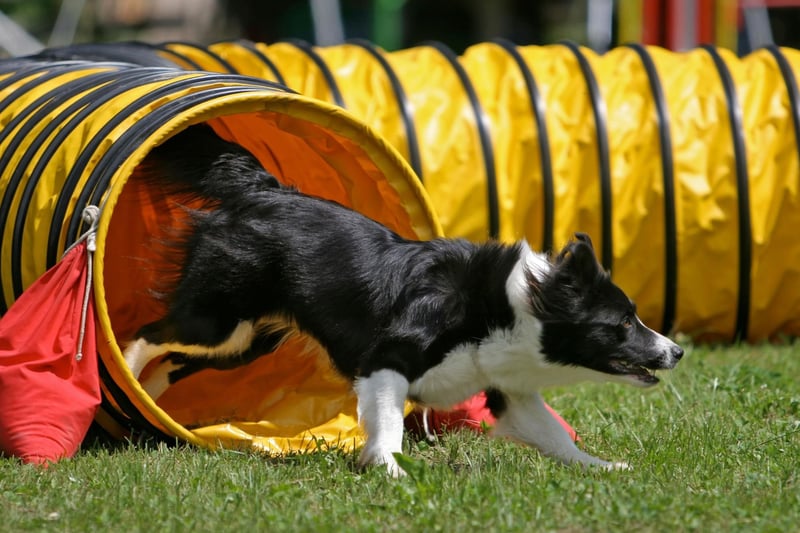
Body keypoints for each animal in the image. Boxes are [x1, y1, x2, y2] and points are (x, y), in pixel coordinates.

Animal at [123, 127, 680, 476]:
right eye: (624, 322)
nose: (676, 351)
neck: (508, 307)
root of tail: (263, 191)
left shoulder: (509, 389)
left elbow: (554, 436)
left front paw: (604, 468)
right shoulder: (385, 362)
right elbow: (389, 426)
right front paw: (389, 469)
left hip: (244, 342)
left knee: (170, 359)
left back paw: (147, 399)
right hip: (219, 321)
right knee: (147, 335)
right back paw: (124, 374)